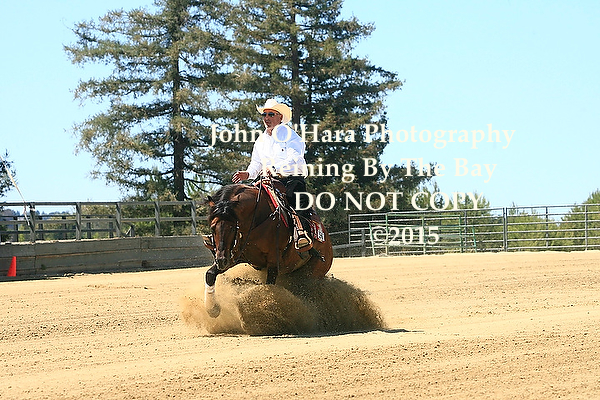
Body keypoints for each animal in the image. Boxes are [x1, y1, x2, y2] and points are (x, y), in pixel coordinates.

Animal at [202, 177, 333, 318]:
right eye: (212, 227)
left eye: (232, 227)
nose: (221, 260)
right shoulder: (235, 256)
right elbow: (210, 274)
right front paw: (213, 309)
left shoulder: (273, 260)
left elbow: (268, 288)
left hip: (314, 273)